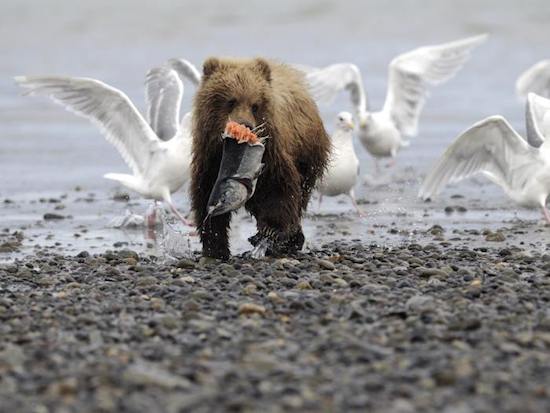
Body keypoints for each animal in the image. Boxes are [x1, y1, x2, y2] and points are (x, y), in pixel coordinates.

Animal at [192, 56, 330, 260]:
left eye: (255, 105)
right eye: (230, 101)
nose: (245, 125)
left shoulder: (273, 154)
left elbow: (278, 192)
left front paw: (270, 233)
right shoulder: (209, 157)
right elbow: (205, 194)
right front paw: (215, 246)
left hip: (308, 155)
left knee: (299, 197)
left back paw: (292, 239)